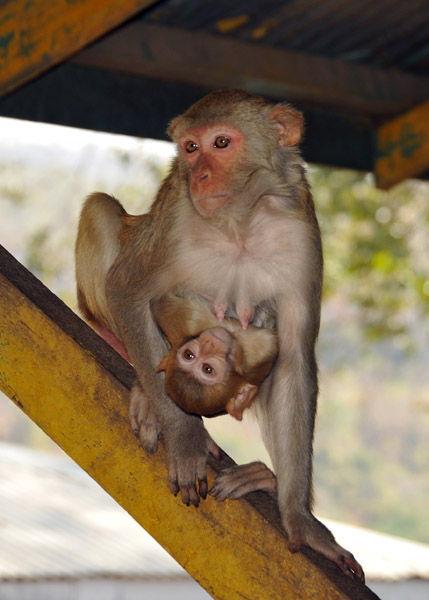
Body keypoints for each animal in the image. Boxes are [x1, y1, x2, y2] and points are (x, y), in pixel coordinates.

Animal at [75, 89, 362, 580]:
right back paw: (141, 385)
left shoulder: (301, 234)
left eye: (221, 143)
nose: (199, 176)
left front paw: (299, 518)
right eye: (190, 148)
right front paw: (184, 435)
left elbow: (294, 358)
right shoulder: (174, 223)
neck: (238, 220)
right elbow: (127, 290)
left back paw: (266, 478)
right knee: (101, 210)